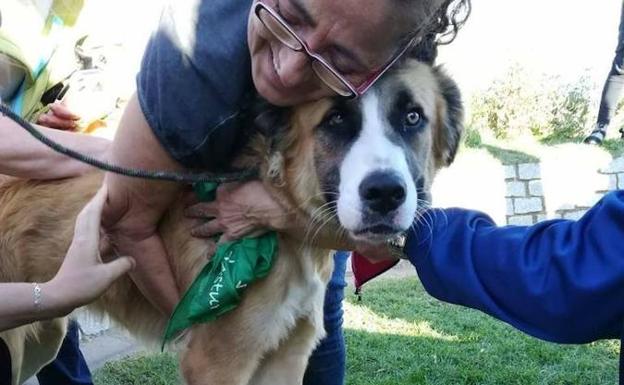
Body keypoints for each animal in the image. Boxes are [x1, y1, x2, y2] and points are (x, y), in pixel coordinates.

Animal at [0, 57, 460, 384]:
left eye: (413, 117)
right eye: (335, 119)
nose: (385, 193)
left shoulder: (288, 356)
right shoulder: (217, 361)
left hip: (44, 335)